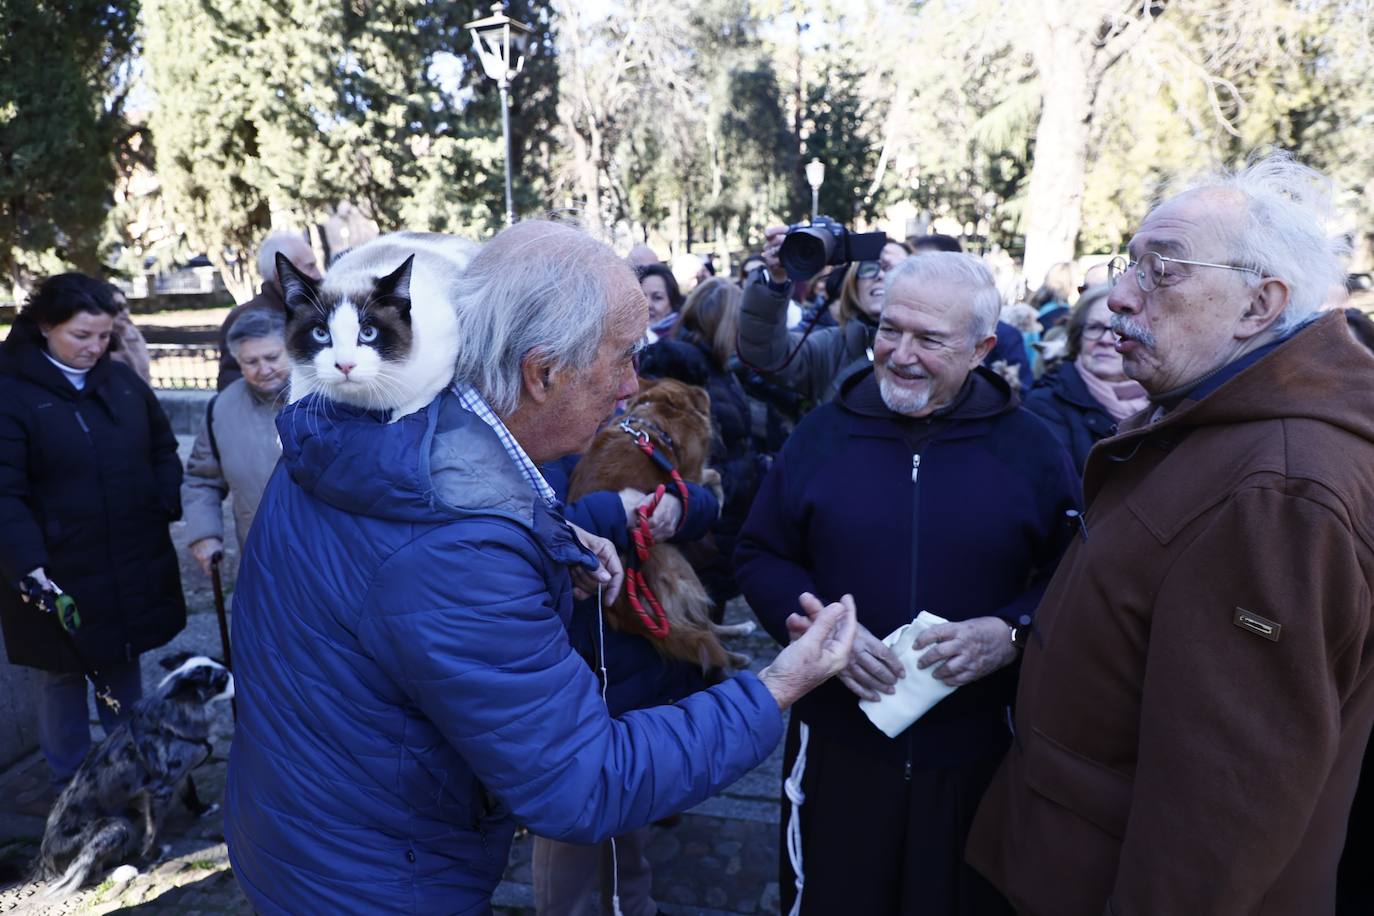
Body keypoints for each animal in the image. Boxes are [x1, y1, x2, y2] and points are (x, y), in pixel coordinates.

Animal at [35, 656, 233, 900]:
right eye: (221, 679)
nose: (235, 673)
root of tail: (45, 862)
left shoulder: (180, 775)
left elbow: (190, 793)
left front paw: (202, 809)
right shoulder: (158, 790)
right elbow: (154, 828)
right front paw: (154, 853)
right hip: (117, 826)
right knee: (86, 874)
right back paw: (123, 871)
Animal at [273, 230, 478, 420]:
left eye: (368, 333)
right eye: (320, 333)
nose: (345, 366)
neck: (365, 403)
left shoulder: (437, 377)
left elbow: (406, 412)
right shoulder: (303, 385)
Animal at [566, 376, 752, 670]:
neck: (653, 419)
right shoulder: (689, 474)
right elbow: (713, 475)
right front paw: (721, 499)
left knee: (699, 628)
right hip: (678, 563)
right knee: (702, 626)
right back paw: (738, 646)